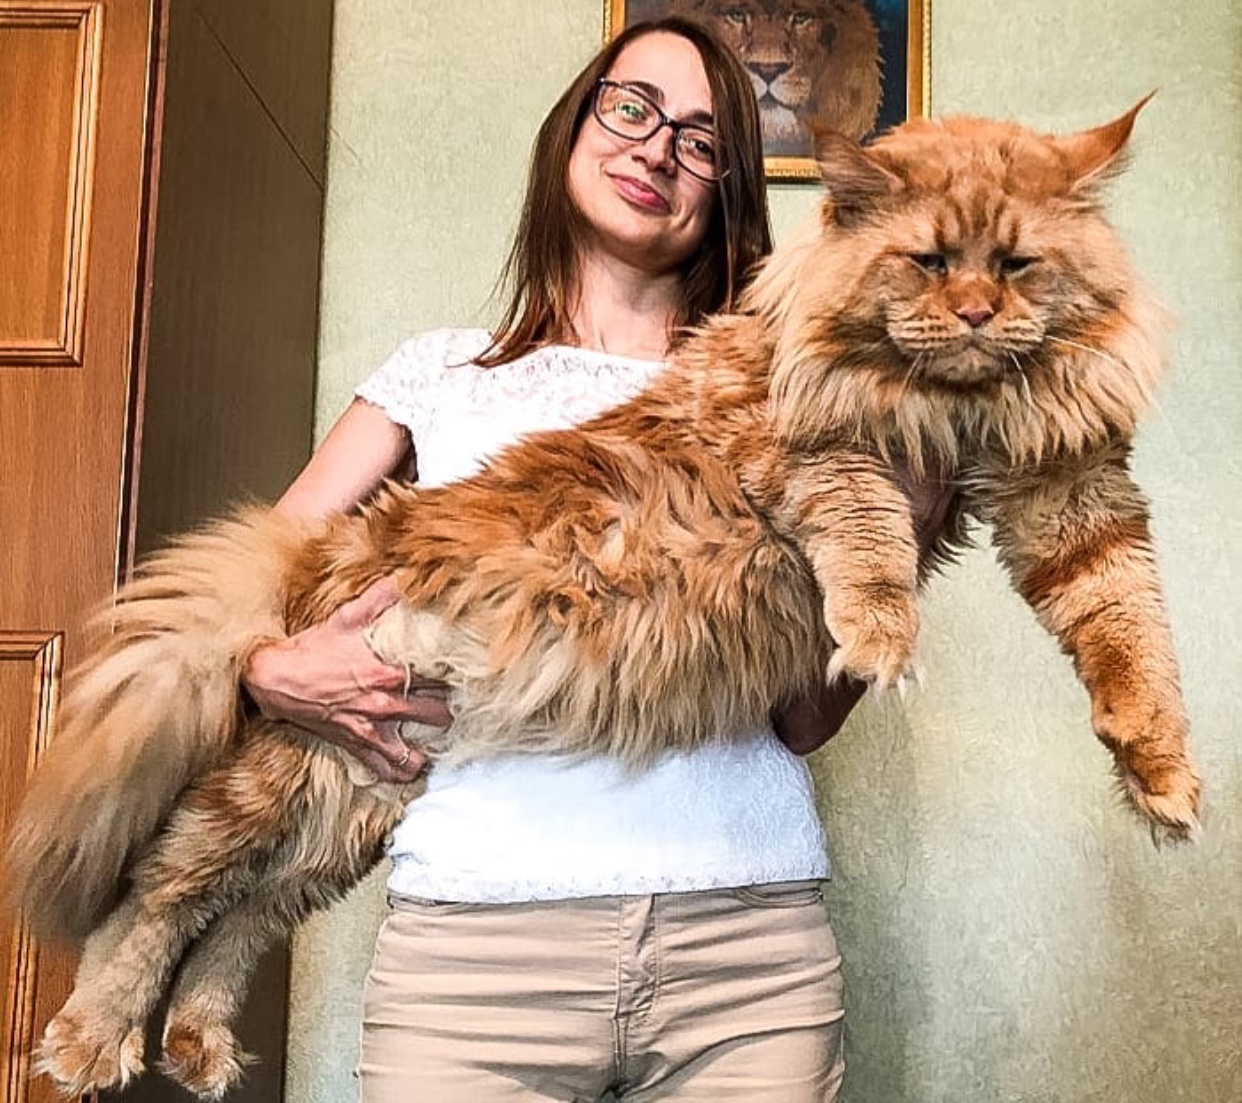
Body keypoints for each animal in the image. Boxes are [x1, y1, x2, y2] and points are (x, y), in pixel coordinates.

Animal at [4, 99, 1197, 1098]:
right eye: (930, 261)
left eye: (1018, 264)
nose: (979, 311)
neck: (956, 407)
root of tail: (317, 547)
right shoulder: (798, 444)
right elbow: (864, 528)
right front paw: (880, 632)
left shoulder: (1072, 496)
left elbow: (1130, 628)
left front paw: (1162, 776)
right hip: (284, 780)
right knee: (155, 897)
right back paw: (91, 1040)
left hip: (348, 811)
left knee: (239, 922)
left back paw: (200, 1044)